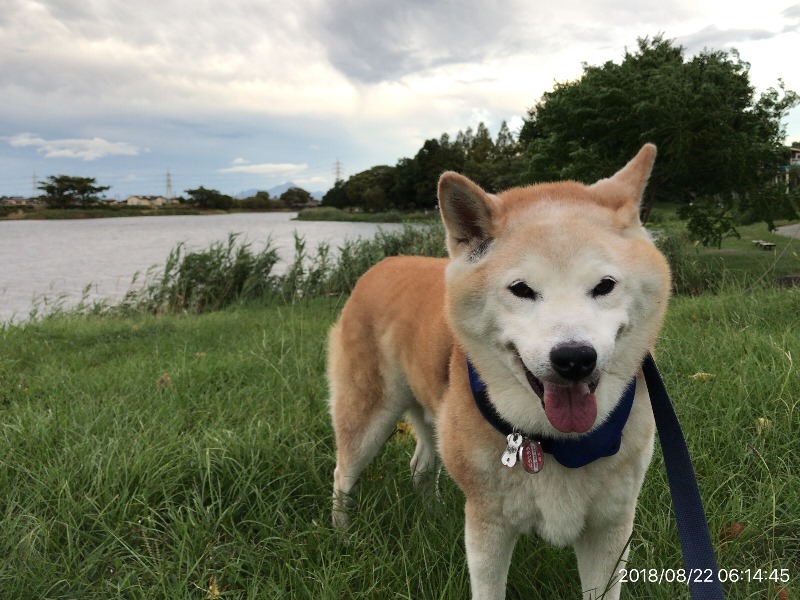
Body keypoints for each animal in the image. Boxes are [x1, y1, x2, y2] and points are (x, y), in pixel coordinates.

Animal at [328, 144, 671, 599]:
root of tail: (382, 263)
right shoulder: (488, 524)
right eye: (522, 289)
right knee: (343, 474)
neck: (558, 444)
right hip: (369, 416)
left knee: (421, 465)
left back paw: (430, 515)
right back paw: (343, 537)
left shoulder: (611, 526)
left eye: (604, 286)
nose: (574, 358)